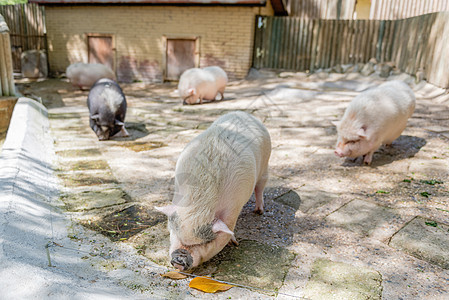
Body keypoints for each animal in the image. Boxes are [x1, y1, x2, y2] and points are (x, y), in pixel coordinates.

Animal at [156, 110, 272, 270]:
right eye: (175, 233)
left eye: (205, 242)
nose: (179, 260)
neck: (199, 203)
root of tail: (243, 113)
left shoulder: (234, 207)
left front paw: (234, 243)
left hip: (266, 164)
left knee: (260, 187)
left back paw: (259, 211)